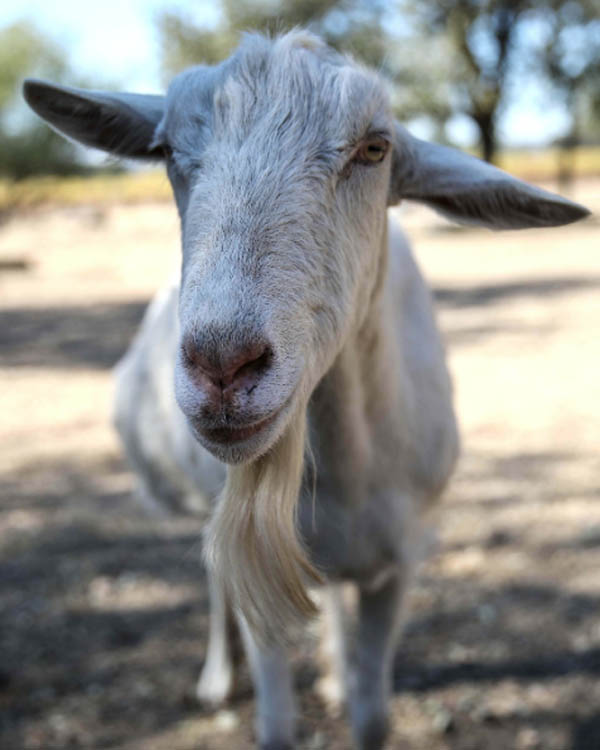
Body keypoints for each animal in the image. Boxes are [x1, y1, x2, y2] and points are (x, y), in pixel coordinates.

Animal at [24, 30, 589, 750]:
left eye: (375, 147)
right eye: (166, 150)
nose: (223, 364)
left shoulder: (400, 563)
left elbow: (373, 715)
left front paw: (348, 683)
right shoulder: (261, 580)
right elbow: (274, 720)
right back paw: (218, 677)